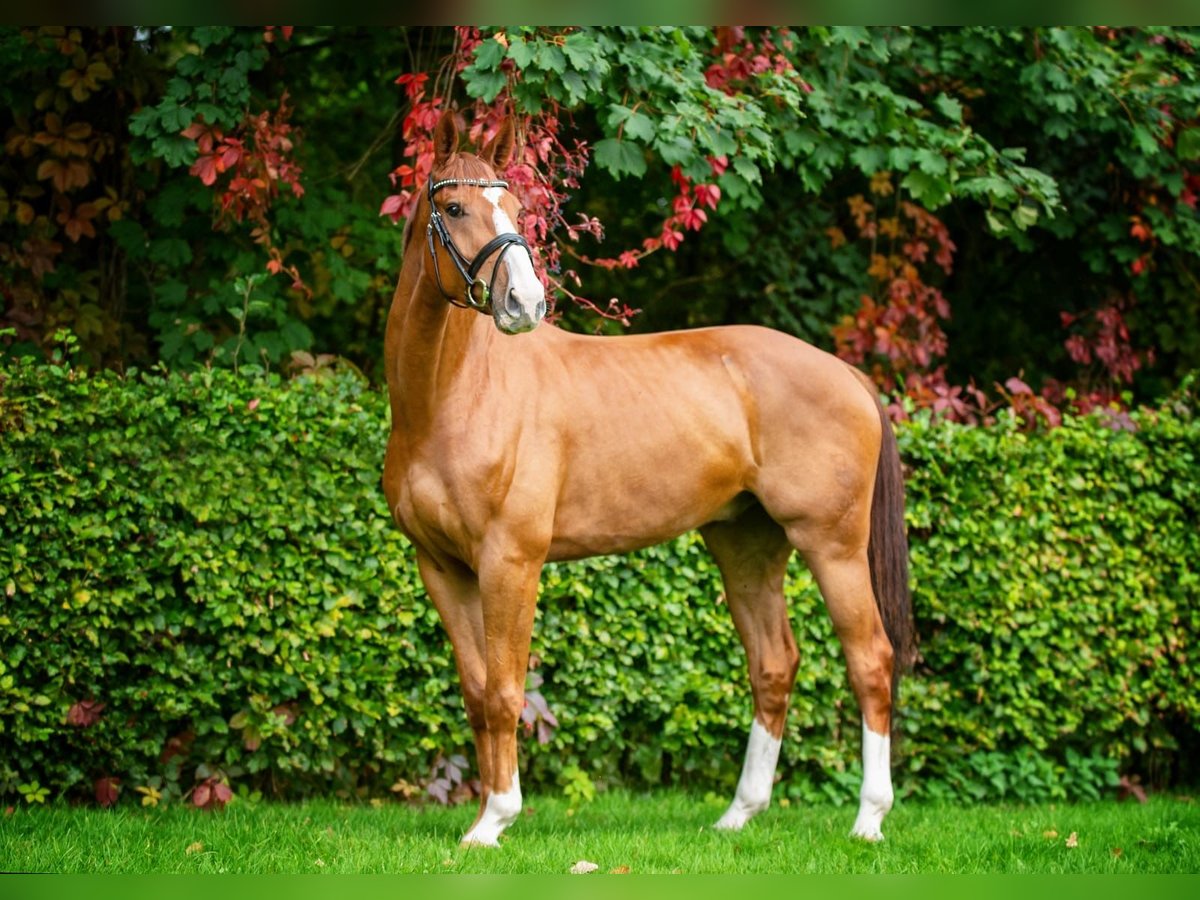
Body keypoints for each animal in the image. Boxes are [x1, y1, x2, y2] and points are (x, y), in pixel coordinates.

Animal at [382, 110, 916, 847]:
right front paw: (484, 817)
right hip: (747, 546)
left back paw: (869, 819)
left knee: (870, 661)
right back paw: (738, 815)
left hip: (831, 545)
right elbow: (476, 689)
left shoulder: (509, 563)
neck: (452, 398)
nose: (525, 302)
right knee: (774, 664)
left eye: (514, 206)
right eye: (455, 207)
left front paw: (497, 818)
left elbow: (506, 690)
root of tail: (848, 376)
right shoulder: (440, 567)